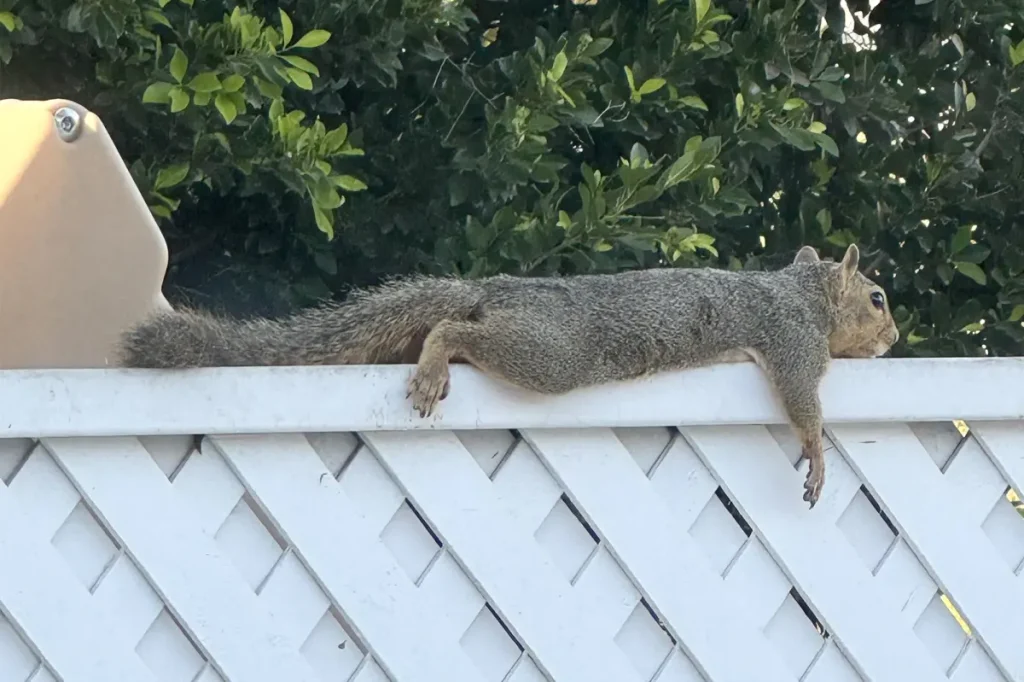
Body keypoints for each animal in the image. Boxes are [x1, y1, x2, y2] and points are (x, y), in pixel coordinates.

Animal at [117, 243, 898, 508]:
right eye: (878, 299)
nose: (893, 338)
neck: (803, 293)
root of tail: (499, 288)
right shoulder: (792, 342)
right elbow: (800, 400)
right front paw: (819, 455)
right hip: (553, 354)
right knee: (454, 331)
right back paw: (436, 361)